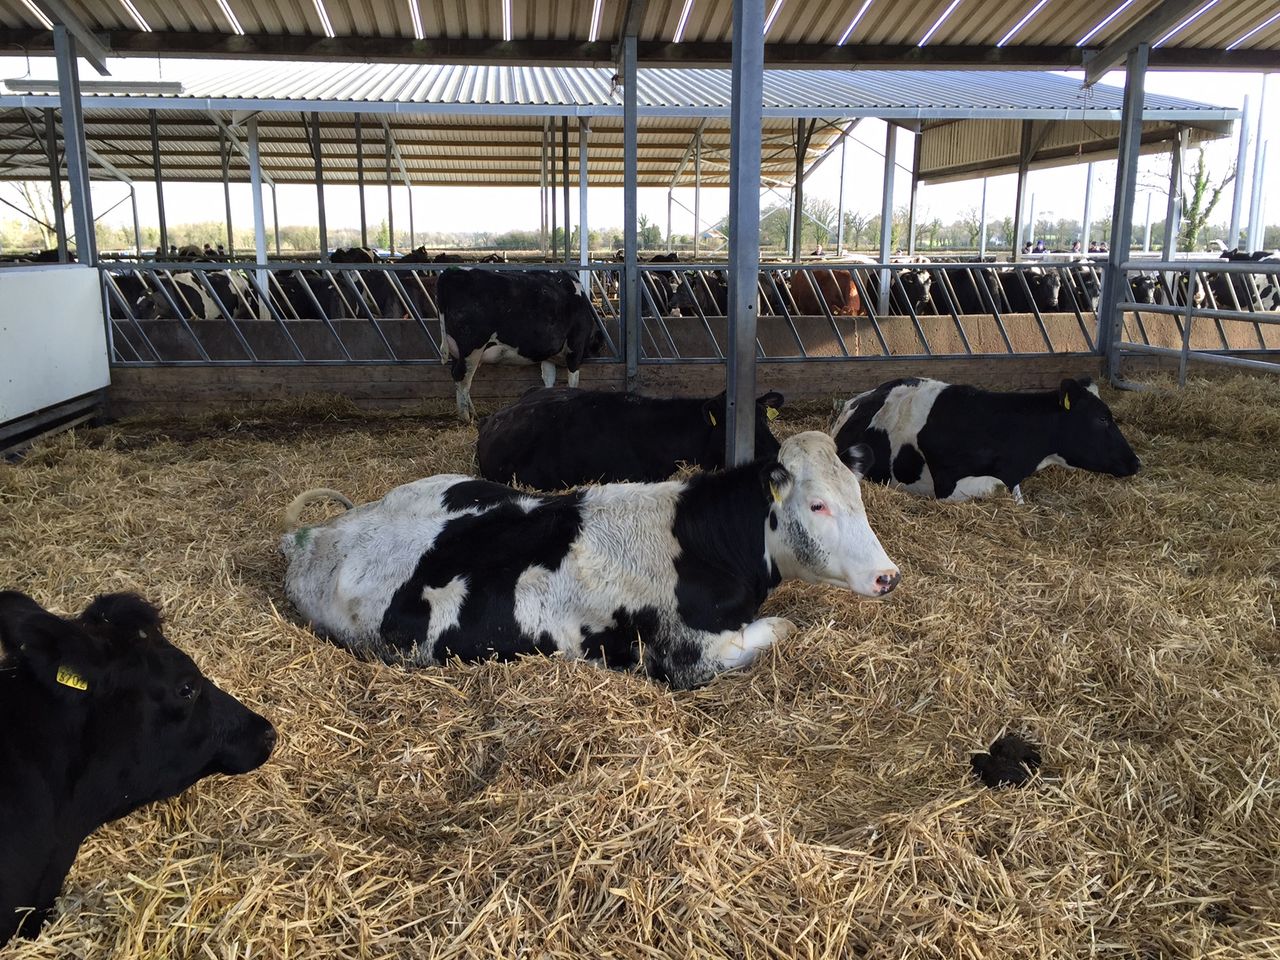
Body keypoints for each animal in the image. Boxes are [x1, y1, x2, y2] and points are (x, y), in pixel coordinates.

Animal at [280, 431, 899, 689]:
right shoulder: (689, 659)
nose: (887, 576)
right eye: (817, 504)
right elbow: (786, 627)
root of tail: (316, 536)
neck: (697, 542)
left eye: (858, 494)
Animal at [437, 268, 604, 422]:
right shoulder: (575, 348)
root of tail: (453, 272)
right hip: (472, 348)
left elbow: (549, 379)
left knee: (458, 377)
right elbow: (573, 381)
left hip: (457, 351)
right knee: (463, 378)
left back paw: (472, 412)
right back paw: (466, 417)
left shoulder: (548, 356)